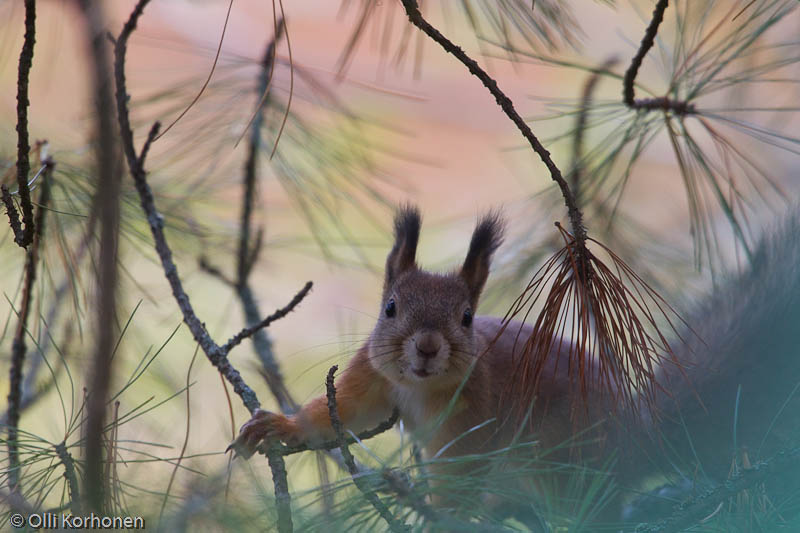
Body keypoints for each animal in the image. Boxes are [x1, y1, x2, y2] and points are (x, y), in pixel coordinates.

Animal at [231, 205, 800, 524]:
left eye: (466, 316)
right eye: (390, 307)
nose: (427, 346)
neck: (419, 388)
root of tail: (636, 439)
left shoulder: (475, 417)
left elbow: (461, 471)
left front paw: (440, 512)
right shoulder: (369, 381)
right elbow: (339, 417)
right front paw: (276, 425)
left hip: (562, 459)